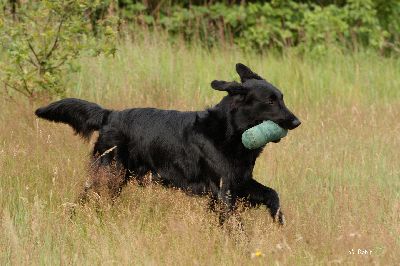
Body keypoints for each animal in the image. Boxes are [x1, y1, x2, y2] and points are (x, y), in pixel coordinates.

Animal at [36, 64, 300, 224]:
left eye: (282, 98)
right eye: (270, 101)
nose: (297, 121)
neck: (229, 133)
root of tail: (109, 115)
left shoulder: (241, 182)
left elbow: (272, 194)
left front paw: (279, 223)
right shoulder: (223, 191)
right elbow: (235, 224)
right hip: (108, 175)